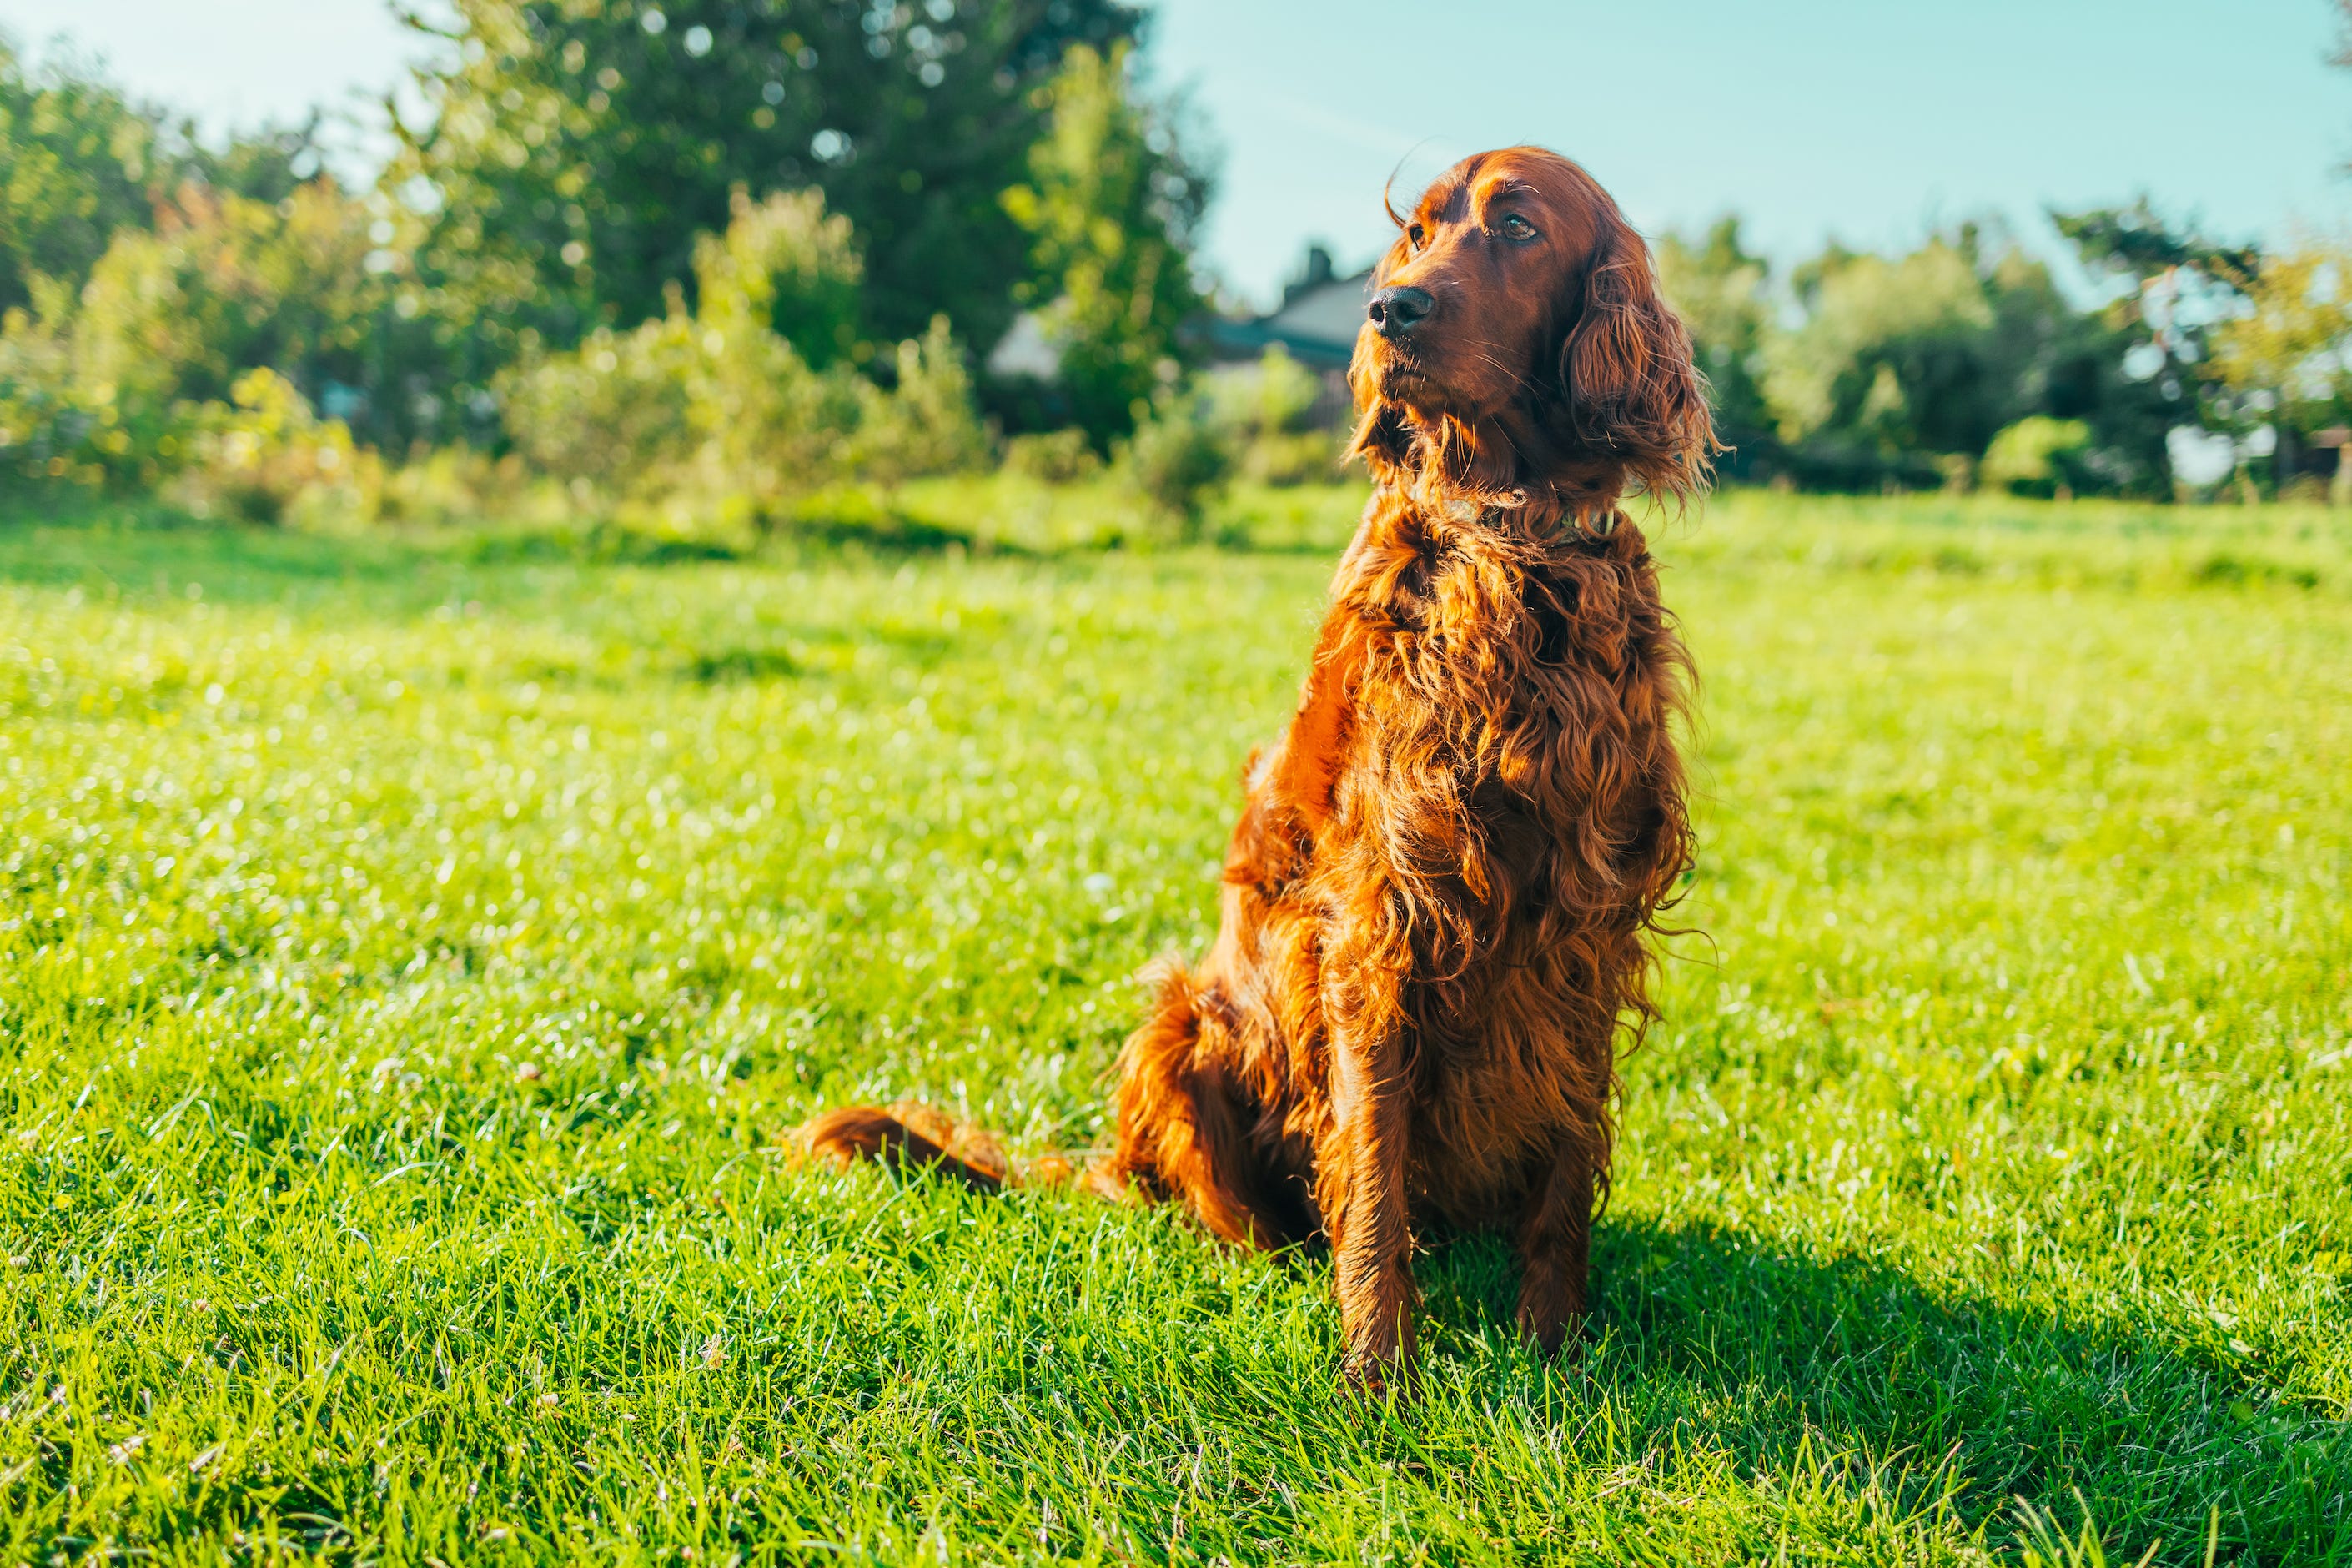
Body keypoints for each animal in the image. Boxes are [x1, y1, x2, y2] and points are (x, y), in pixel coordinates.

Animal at [809, 141, 1711, 1382]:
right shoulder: (1386, 921)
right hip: (1182, 1026)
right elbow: (1373, 1179)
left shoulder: (1587, 924)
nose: (1390, 308)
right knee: (1236, 1219)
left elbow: (1567, 1167)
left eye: (1518, 229)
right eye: (1418, 232)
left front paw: (1554, 1351)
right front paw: (1379, 1379)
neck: (1509, 545)